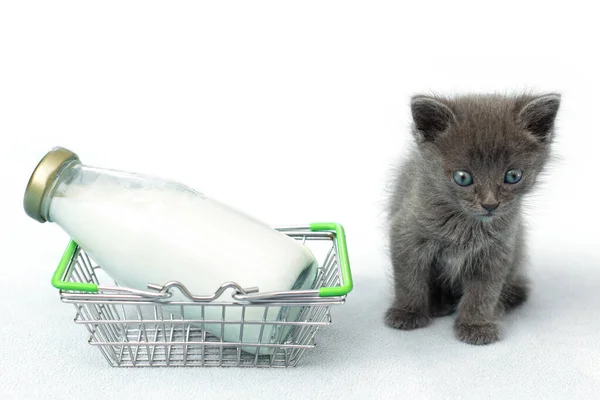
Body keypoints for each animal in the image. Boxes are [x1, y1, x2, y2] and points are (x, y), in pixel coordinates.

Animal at [386, 93, 560, 344]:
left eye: (513, 176)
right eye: (463, 177)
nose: (490, 204)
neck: (466, 226)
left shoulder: (498, 249)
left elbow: (484, 291)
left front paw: (476, 325)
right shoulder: (406, 232)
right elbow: (408, 278)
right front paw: (407, 312)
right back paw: (438, 303)